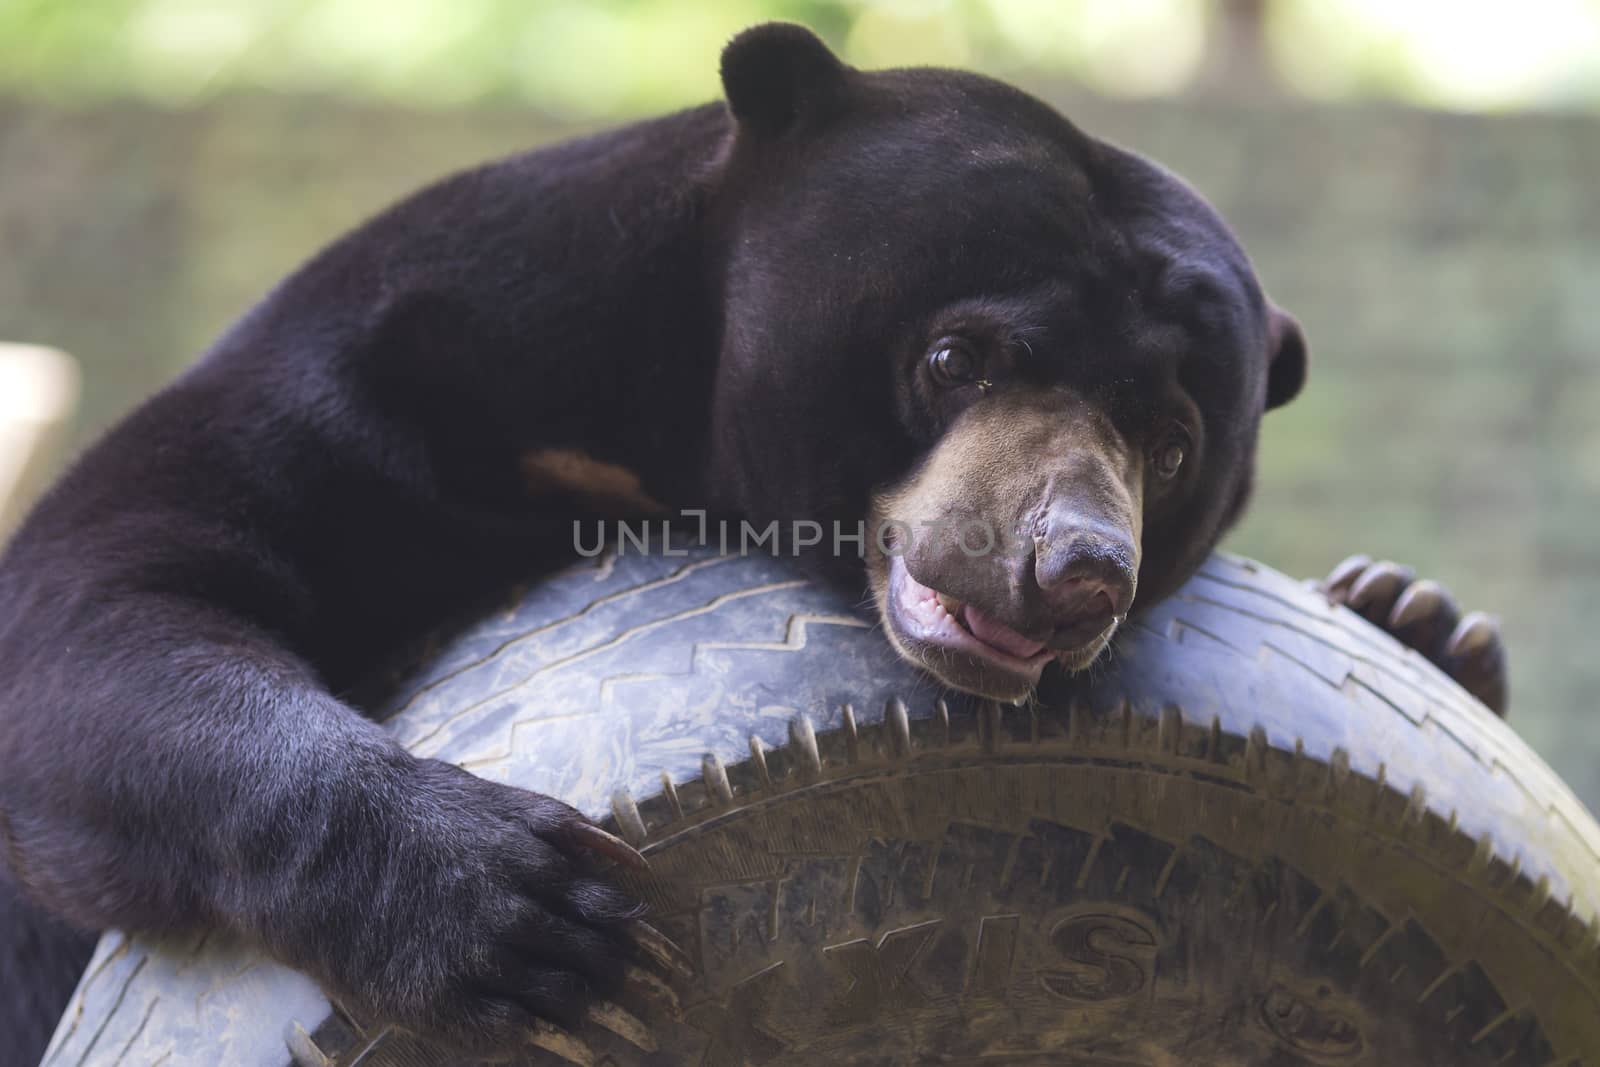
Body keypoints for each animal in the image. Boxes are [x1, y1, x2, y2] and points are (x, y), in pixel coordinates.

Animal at [0, 20, 1504, 1055]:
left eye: (1173, 441)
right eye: (958, 355)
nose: (1074, 568)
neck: (657, 427)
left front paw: (1421, 615)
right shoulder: (393, 352)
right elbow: (100, 596)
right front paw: (523, 909)